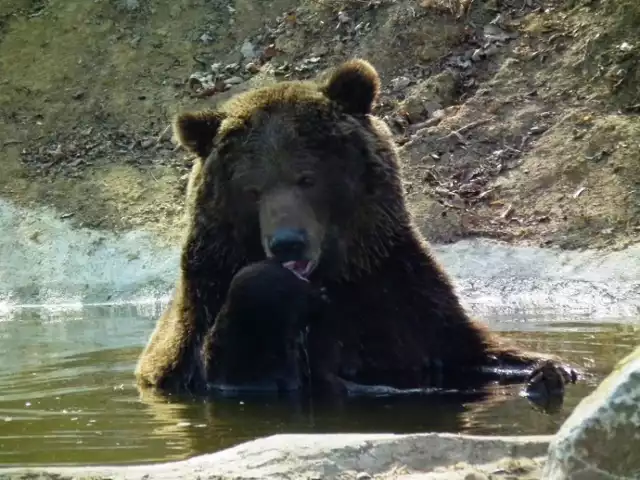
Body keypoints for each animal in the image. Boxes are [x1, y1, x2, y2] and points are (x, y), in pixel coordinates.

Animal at [135, 56, 576, 402]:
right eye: (252, 189)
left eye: (307, 178)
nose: (287, 243)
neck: (336, 275)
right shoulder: (201, 311)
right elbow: (242, 364)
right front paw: (278, 287)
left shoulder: (397, 292)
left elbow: (472, 350)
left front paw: (551, 369)